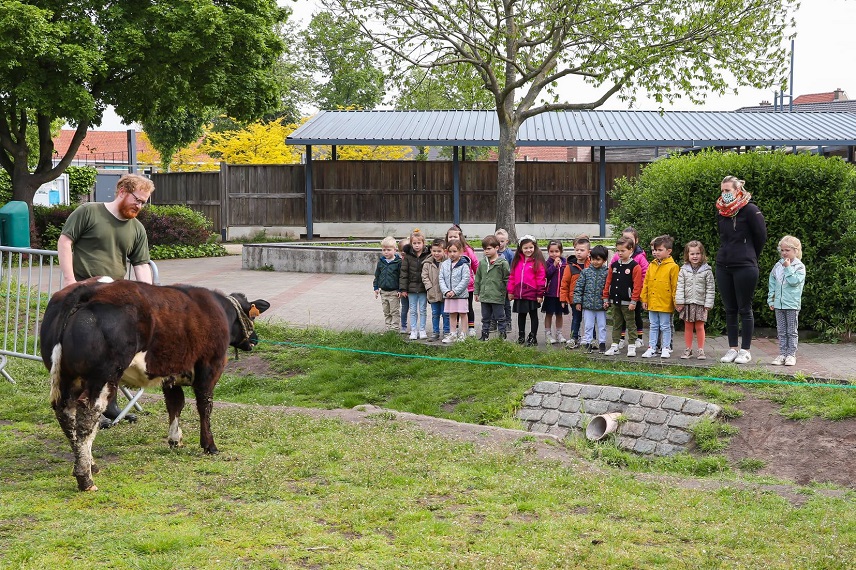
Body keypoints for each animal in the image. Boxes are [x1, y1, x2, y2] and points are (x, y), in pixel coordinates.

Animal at [39, 276, 268, 488]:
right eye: (251, 315)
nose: (254, 339)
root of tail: (88, 289)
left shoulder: (172, 373)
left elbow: (175, 405)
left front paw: (175, 439)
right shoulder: (210, 367)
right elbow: (205, 407)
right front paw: (209, 445)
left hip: (68, 378)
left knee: (67, 415)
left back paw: (90, 464)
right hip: (101, 377)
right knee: (88, 417)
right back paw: (85, 478)